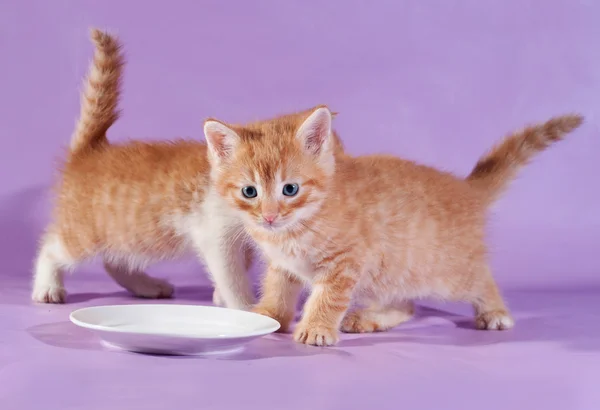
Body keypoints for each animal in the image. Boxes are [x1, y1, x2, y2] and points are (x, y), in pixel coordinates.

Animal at [31, 28, 255, 310]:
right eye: (249, 188)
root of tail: (90, 150)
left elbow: (241, 267)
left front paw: (221, 297)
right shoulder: (216, 235)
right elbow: (231, 275)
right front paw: (245, 308)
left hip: (134, 232)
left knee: (115, 261)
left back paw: (147, 286)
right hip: (89, 231)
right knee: (52, 248)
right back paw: (47, 286)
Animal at [204, 106, 584, 346]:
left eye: (290, 189)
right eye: (249, 192)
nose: (269, 217)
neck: (297, 227)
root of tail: (466, 189)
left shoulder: (346, 262)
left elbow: (327, 297)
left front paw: (316, 328)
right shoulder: (283, 264)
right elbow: (277, 288)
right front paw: (269, 314)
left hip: (445, 272)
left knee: (480, 279)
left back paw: (495, 311)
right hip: (389, 273)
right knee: (408, 305)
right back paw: (368, 319)